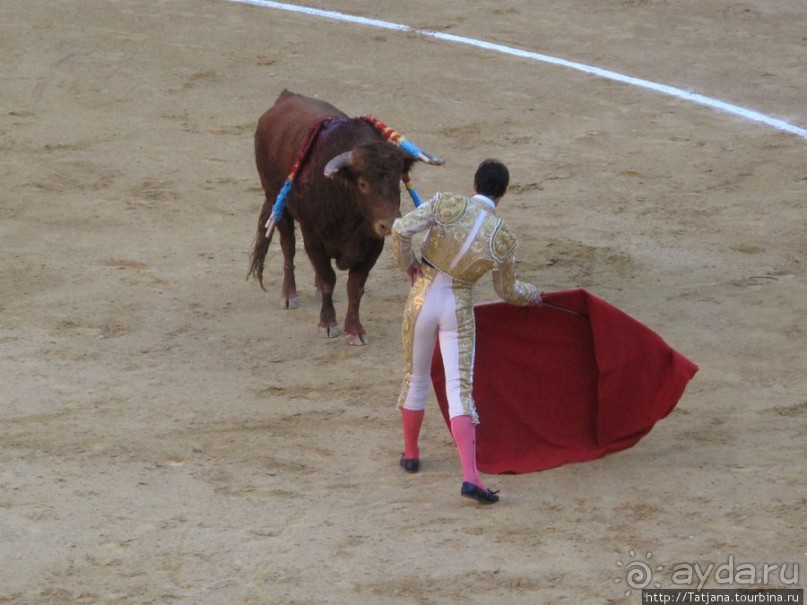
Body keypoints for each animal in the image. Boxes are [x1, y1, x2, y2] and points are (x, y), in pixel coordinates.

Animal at [251, 89, 442, 344]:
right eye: (362, 184)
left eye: (397, 181)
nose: (388, 224)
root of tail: (285, 97)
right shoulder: (313, 240)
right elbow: (328, 279)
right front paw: (328, 323)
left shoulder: (372, 245)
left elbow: (355, 287)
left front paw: (355, 329)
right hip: (276, 200)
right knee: (288, 246)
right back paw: (289, 295)